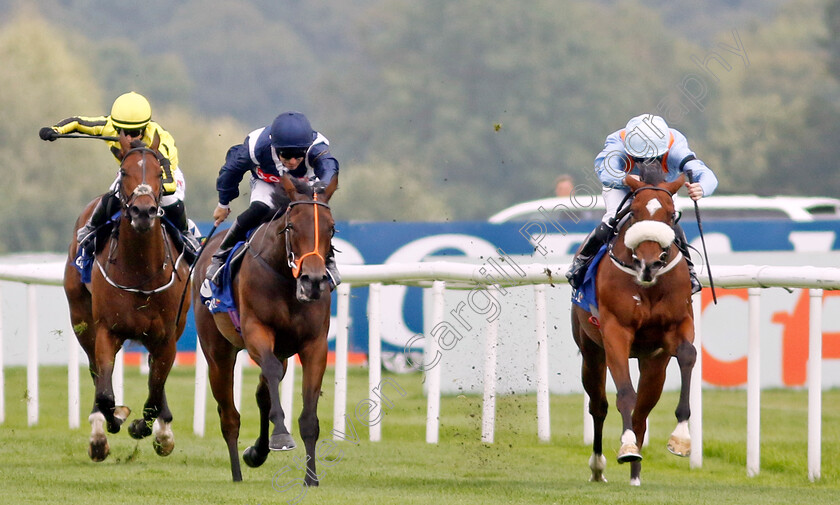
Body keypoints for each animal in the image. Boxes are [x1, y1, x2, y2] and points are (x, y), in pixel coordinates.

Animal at [64, 130, 192, 460]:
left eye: (160, 172)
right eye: (124, 172)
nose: (144, 211)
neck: (141, 271)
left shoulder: (167, 336)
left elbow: (155, 391)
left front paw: (155, 430)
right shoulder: (107, 330)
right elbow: (106, 392)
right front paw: (110, 422)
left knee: (155, 380)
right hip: (81, 320)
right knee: (96, 373)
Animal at [194, 175, 338, 482]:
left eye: (331, 228)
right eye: (292, 226)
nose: (313, 281)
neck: (284, 278)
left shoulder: (315, 344)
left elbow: (308, 416)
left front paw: (311, 479)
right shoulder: (256, 331)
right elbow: (269, 372)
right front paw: (281, 436)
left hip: (282, 351)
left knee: (263, 394)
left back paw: (256, 453)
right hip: (218, 352)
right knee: (229, 416)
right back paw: (237, 474)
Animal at [572, 164, 696, 484]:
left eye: (671, 214)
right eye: (635, 212)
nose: (649, 264)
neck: (648, 285)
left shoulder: (678, 325)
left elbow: (688, 354)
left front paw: (681, 438)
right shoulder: (615, 331)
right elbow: (624, 393)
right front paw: (627, 447)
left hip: (654, 363)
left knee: (642, 412)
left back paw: (636, 476)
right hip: (591, 351)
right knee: (599, 406)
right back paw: (599, 467)